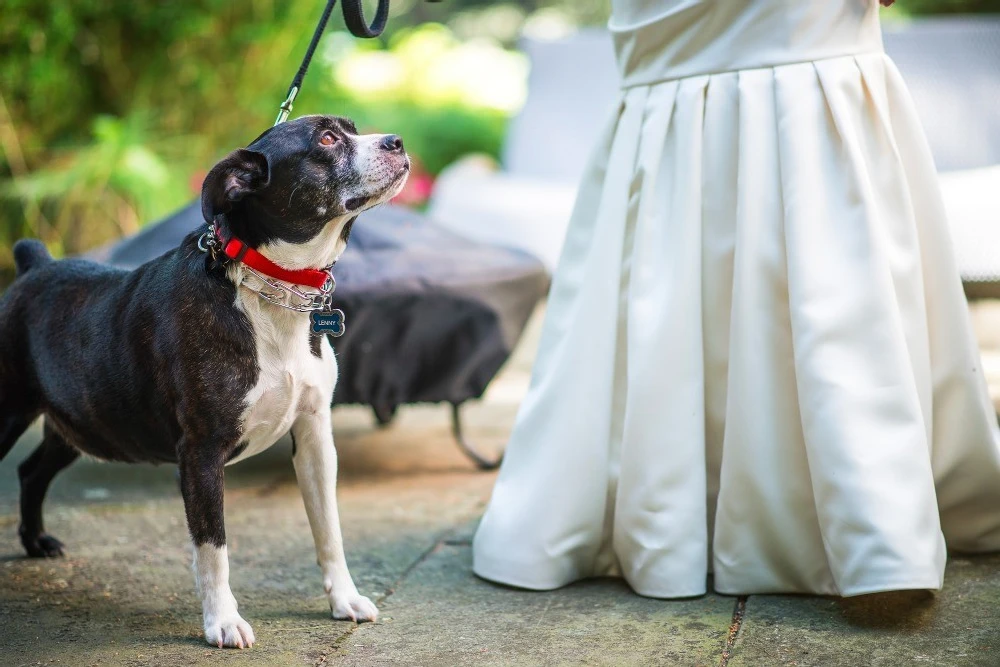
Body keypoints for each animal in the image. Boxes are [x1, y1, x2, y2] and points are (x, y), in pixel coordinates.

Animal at [0, 115, 410, 648]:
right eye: (326, 139)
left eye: (352, 128)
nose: (396, 142)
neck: (270, 287)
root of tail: (34, 266)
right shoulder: (201, 452)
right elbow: (213, 546)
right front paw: (223, 621)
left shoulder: (316, 438)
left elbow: (329, 529)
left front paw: (344, 598)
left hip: (79, 423)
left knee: (32, 472)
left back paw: (35, 541)